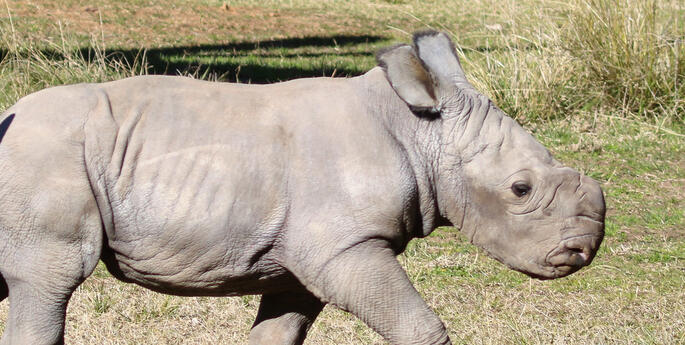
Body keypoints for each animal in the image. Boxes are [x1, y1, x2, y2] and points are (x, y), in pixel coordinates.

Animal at [0, 30, 604, 342]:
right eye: (521, 190)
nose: (583, 250)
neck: (418, 130)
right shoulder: (344, 246)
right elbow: (419, 326)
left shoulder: (299, 259)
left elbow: (278, 334)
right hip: (41, 161)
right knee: (47, 281)